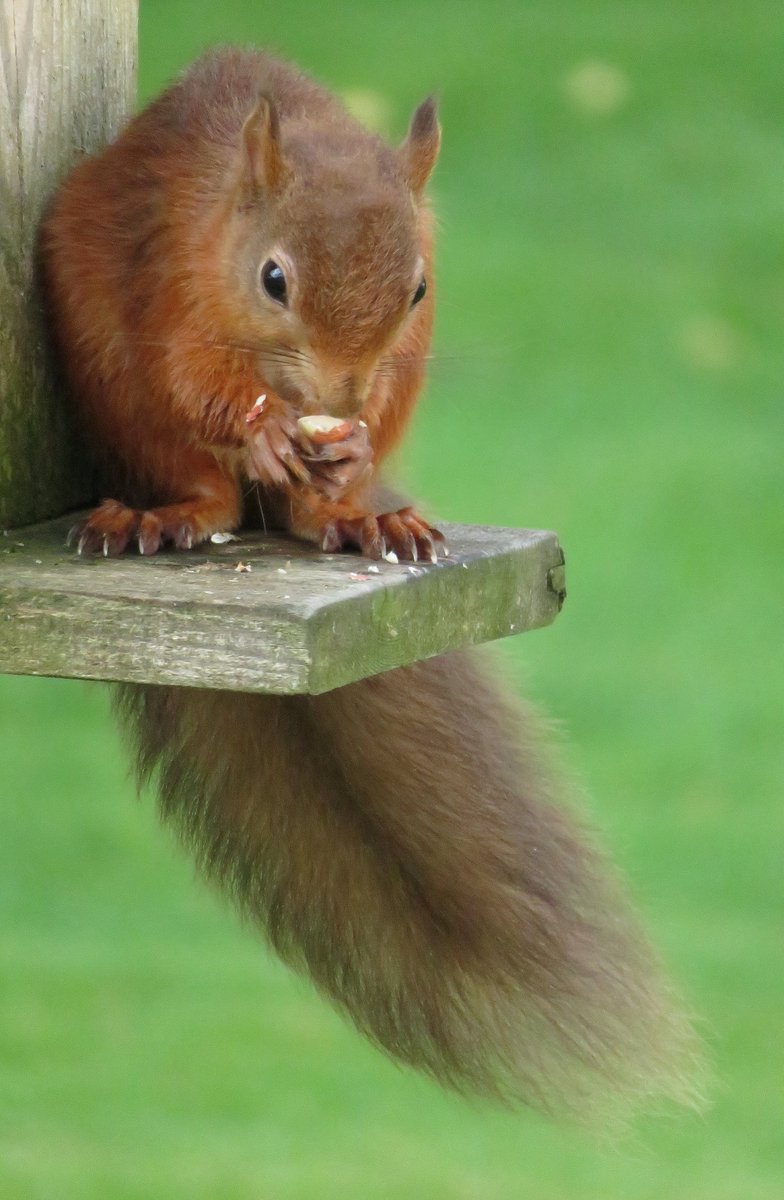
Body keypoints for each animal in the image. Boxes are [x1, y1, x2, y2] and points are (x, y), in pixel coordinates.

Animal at [38, 49, 696, 1123]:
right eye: (273, 278)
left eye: (420, 285)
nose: (335, 401)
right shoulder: (168, 269)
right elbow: (192, 376)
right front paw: (260, 423)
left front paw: (338, 455)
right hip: (110, 370)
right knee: (200, 478)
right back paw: (169, 513)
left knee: (314, 506)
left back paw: (355, 515)